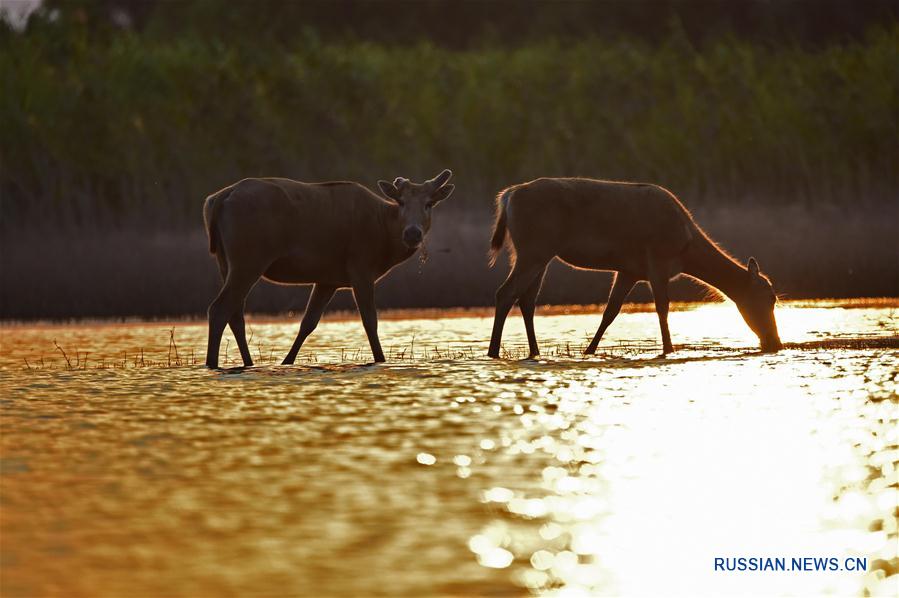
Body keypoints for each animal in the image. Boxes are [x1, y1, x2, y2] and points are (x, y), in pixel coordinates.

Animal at [205, 166, 458, 368]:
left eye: (429, 204)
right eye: (401, 202)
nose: (412, 233)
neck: (383, 236)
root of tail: (218, 199)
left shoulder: (328, 279)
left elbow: (308, 323)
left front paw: (287, 361)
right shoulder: (361, 267)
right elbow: (370, 321)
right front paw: (380, 360)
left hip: (225, 261)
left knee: (236, 313)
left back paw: (247, 363)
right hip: (249, 257)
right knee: (219, 309)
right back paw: (212, 364)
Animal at [488, 177, 784, 356]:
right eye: (770, 297)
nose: (775, 342)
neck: (686, 249)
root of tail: (507, 197)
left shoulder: (629, 271)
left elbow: (610, 312)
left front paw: (589, 351)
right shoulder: (658, 262)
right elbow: (662, 309)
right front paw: (669, 350)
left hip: (534, 253)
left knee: (527, 300)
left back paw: (534, 352)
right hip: (533, 249)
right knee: (505, 293)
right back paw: (493, 352)